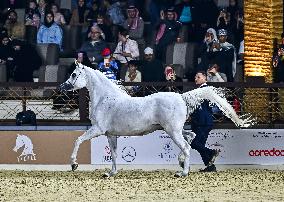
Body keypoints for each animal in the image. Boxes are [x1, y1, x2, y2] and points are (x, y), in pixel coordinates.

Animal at [58, 62, 254, 177]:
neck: (106, 98)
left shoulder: (97, 129)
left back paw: (183, 172)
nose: (62, 87)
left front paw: (74, 164)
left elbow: (77, 140)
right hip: (175, 129)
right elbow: (113, 154)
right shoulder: (110, 134)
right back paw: (183, 162)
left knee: (187, 145)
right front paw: (111, 173)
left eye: (74, 74)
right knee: (191, 138)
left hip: (172, 131)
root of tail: (181, 97)